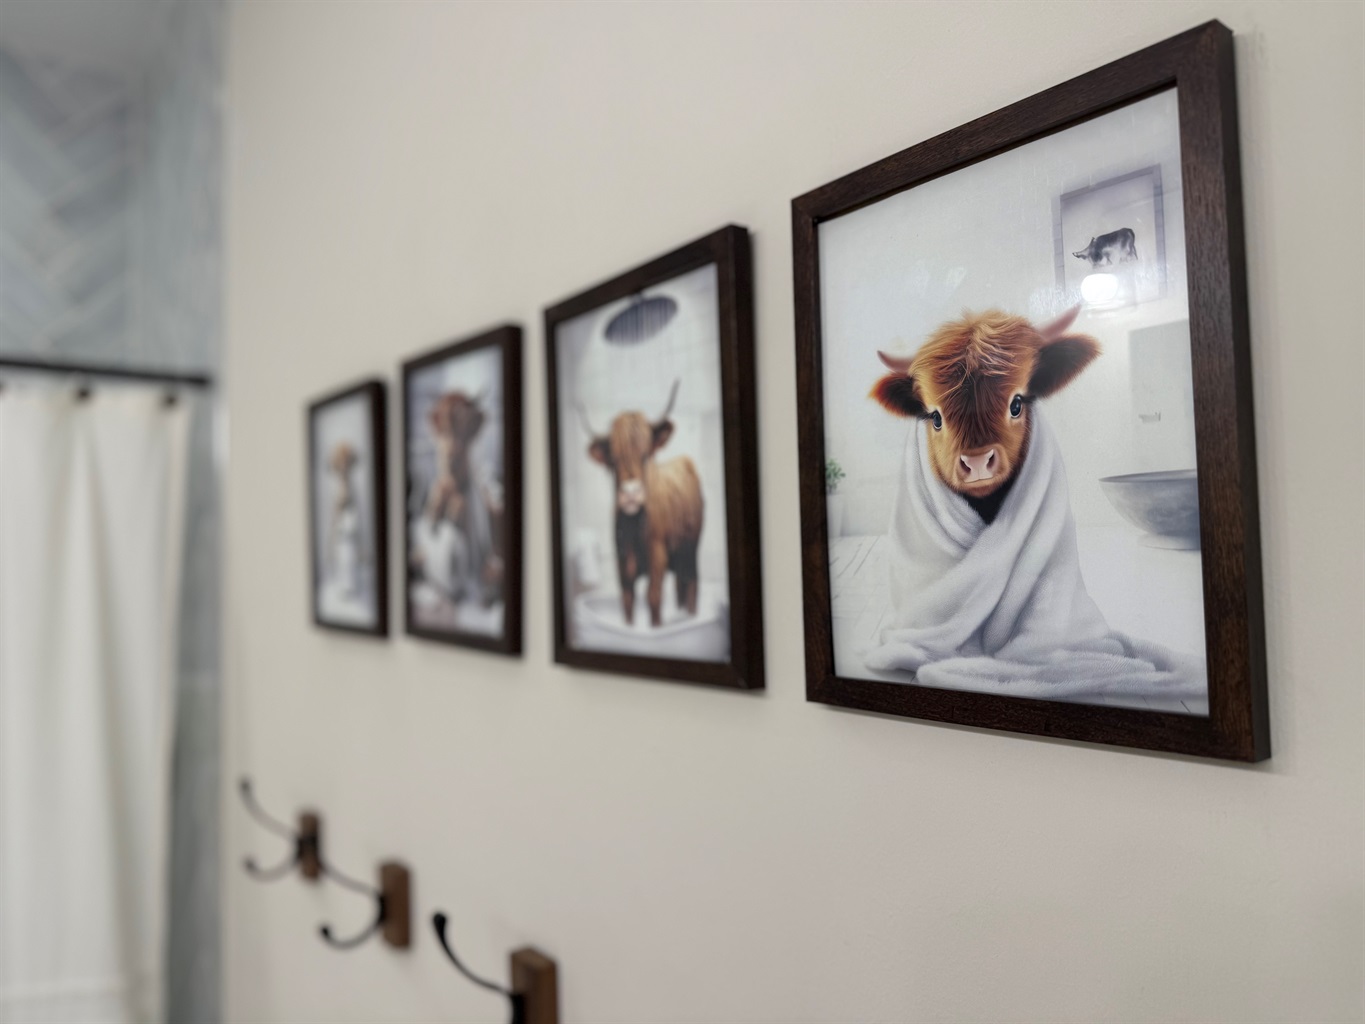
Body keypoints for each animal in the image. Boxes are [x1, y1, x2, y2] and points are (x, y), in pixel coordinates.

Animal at [581, 380, 703, 628]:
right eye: (614, 460)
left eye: (646, 455)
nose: (630, 493)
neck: (634, 526)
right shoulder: (622, 562)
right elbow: (627, 602)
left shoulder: (658, 556)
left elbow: (653, 596)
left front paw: (656, 628)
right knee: (681, 586)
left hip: (691, 548)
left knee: (692, 584)